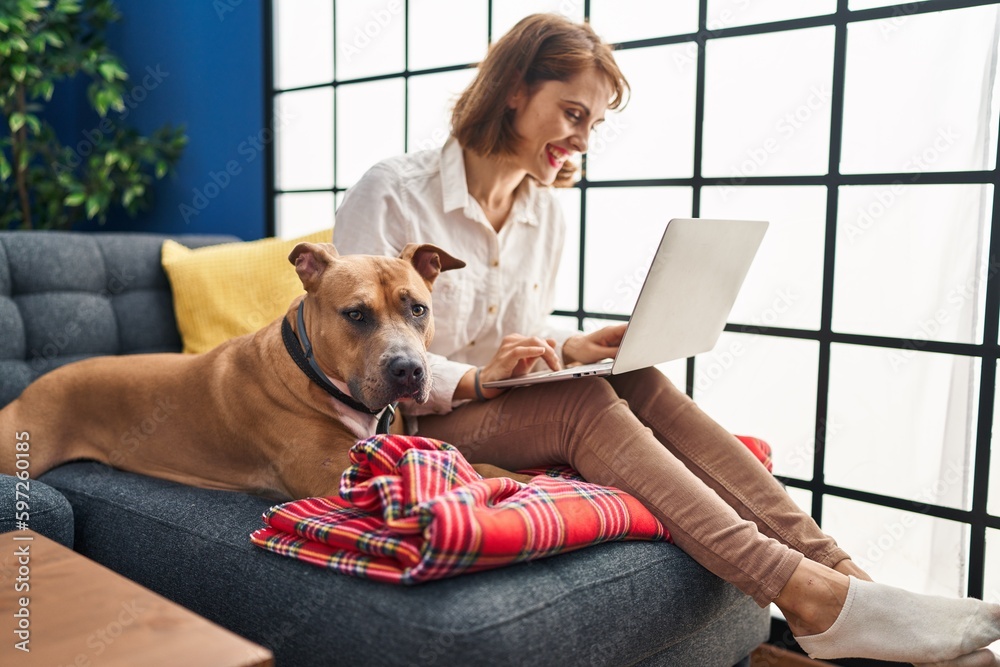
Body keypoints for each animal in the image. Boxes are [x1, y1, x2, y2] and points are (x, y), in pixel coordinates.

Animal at [1, 243, 524, 498]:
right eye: (356, 314)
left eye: (418, 309)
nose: (409, 370)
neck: (317, 376)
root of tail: (33, 388)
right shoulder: (336, 474)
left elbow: (463, 460)